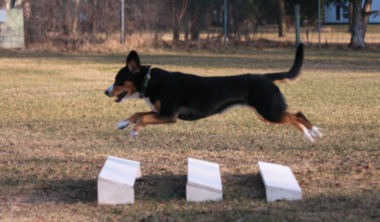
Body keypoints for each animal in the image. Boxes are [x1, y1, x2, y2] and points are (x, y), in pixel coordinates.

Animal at [105, 44, 322, 142]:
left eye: (118, 80)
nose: (106, 92)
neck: (150, 80)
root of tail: (266, 77)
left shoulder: (169, 115)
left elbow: (142, 118)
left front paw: (134, 131)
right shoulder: (161, 112)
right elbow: (138, 113)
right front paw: (123, 123)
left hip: (269, 112)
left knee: (295, 116)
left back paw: (308, 134)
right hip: (267, 112)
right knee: (297, 114)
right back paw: (315, 131)